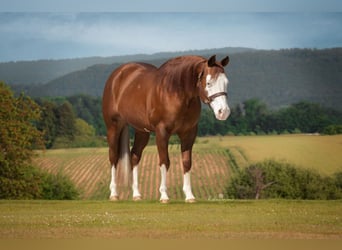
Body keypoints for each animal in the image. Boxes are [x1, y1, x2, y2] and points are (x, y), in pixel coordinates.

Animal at [101, 54, 230, 203]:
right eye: (208, 83)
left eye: (226, 83)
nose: (223, 112)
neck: (176, 92)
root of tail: (117, 75)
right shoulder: (162, 132)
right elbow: (164, 162)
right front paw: (164, 195)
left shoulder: (189, 133)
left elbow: (186, 162)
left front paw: (189, 196)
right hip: (113, 127)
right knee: (114, 157)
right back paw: (114, 194)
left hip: (142, 131)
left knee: (134, 156)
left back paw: (136, 194)